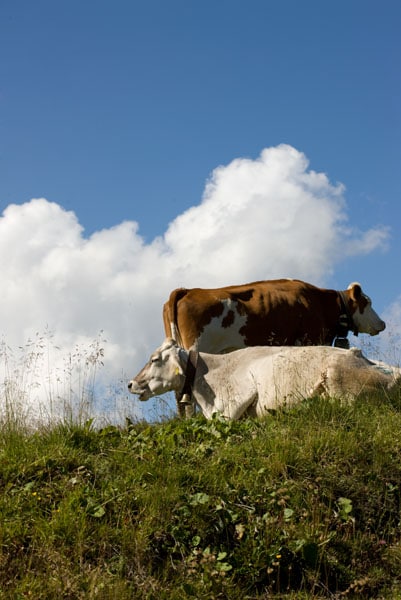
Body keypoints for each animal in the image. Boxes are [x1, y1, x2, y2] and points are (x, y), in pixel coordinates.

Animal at [162, 278, 384, 414]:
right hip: (196, 348)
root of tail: (187, 291)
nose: (382, 324)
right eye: (367, 302)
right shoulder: (309, 338)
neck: (322, 303)